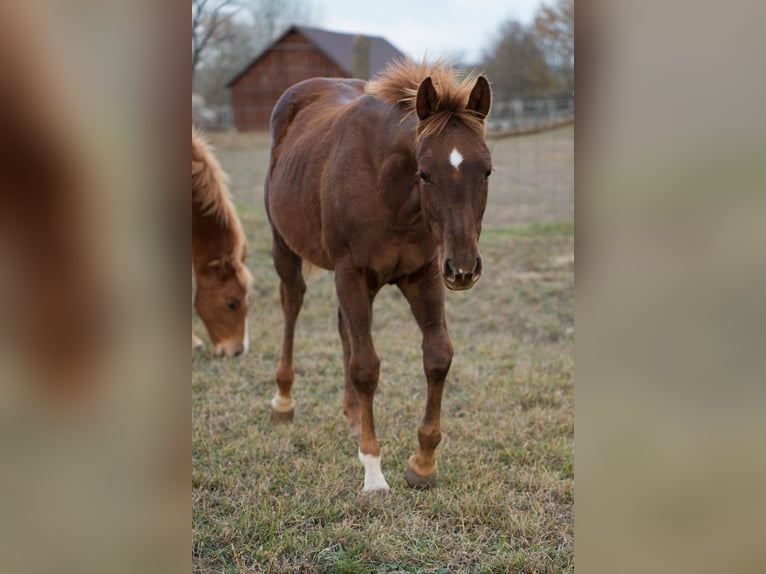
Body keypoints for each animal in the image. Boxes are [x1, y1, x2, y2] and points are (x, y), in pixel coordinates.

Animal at [265, 60, 492, 492]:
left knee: (344, 331)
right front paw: (372, 471)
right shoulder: (352, 274)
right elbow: (367, 367)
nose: (464, 268)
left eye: (487, 171)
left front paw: (423, 463)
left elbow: (438, 356)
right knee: (291, 304)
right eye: (424, 173)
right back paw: (283, 402)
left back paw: (353, 416)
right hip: (286, 246)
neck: (391, 193)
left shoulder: (424, 275)